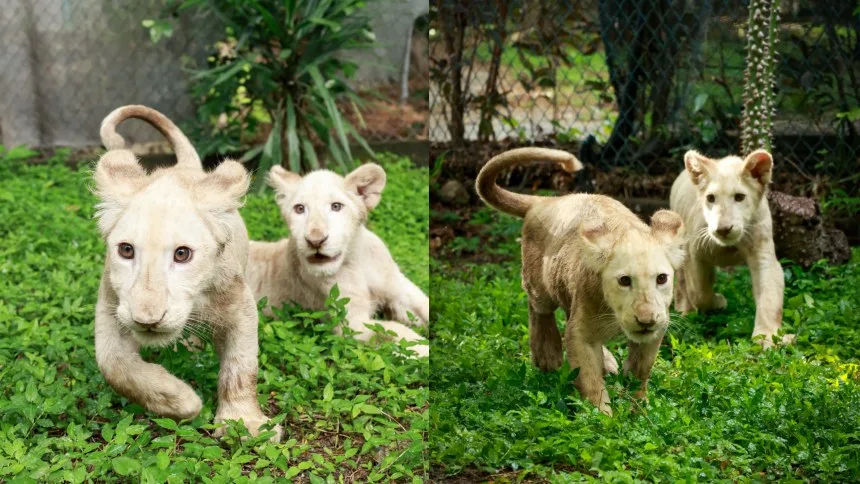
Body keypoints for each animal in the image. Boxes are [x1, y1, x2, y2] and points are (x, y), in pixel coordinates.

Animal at [93, 105, 281, 441]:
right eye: (126, 250)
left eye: (182, 254)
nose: (148, 320)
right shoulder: (111, 306)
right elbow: (114, 364)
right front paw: (179, 401)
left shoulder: (241, 307)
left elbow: (241, 367)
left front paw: (243, 423)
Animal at [245, 164, 429, 358]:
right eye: (300, 209)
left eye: (336, 206)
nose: (315, 240)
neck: (356, 261)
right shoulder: (350, 323)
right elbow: (396, 331)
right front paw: (425, 350)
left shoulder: (399, 287)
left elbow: (423, 305)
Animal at [476, 147, 686, 415]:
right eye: (624, 280)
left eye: (661, 278)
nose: (646, 320)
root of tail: (546, 201)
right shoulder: (581, 333)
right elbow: (590, 379)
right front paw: (603, 417)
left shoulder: (656, 330)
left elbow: (640, 371)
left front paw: (639, 410)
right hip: (539, 287)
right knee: (539, 310)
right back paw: (548, 356)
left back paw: (606, 362)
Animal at [670, 149, 791, 348]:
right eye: (711, 198)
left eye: (739, 197)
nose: (723, 229)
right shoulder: (694, 254)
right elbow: (699, 293)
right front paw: (718, 302)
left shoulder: (762, 255)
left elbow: (769, 296)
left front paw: (766, 337)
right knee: (681, 283)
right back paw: (684, 311)